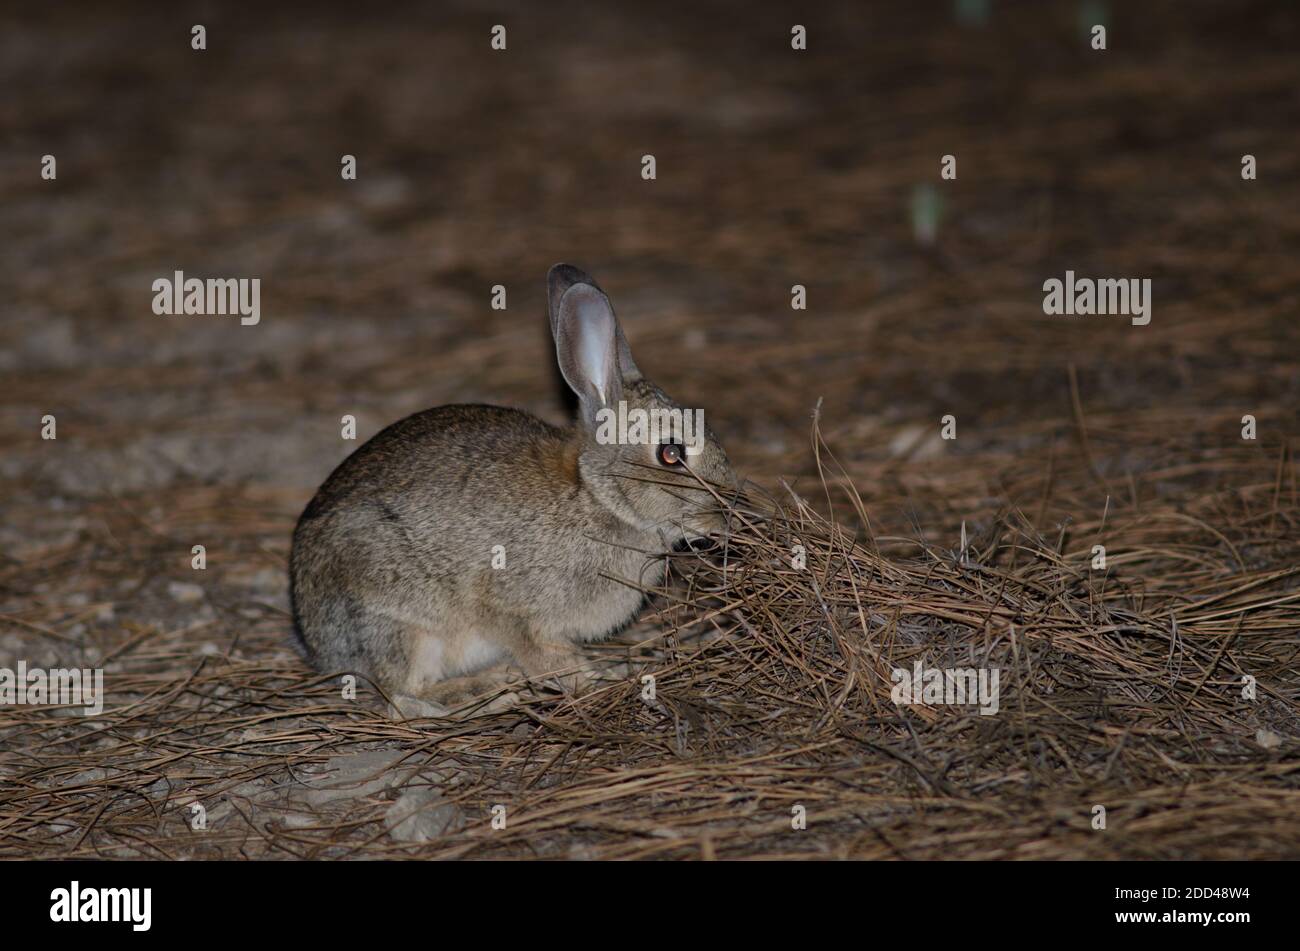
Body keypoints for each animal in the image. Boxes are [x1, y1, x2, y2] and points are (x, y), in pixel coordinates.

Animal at [290, 264, 736, 714]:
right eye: (671, 454)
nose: (723, 520)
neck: (595, 495)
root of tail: (317, 642)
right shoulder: (511, 609)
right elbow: (539, 654)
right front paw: (588, 681)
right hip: (405, 622)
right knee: (405, 699)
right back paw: (494, 690)